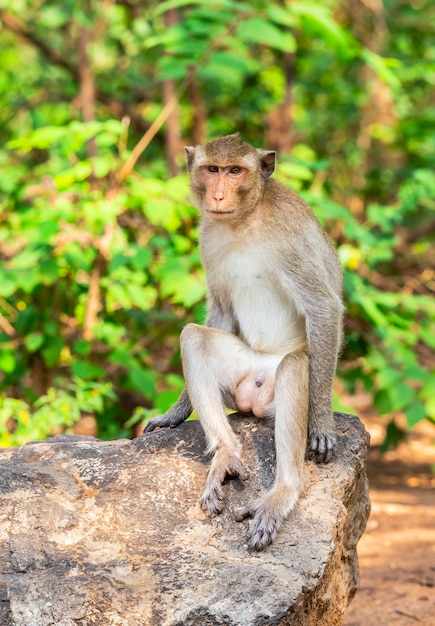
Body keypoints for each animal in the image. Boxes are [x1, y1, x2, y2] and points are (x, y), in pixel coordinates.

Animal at [146, 134, 344, 548]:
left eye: (235, 170)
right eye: (213, 169)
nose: (219, 194)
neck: (244, 220)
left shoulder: (289, 235)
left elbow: (322, 306)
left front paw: (321, 421)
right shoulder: (207, 237)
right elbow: (220, 309)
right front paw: (175, 413)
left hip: (275, 389)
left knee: (294, 366)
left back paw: (283, 492)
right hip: (238, 381)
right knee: (193, 336)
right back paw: (226, 456)